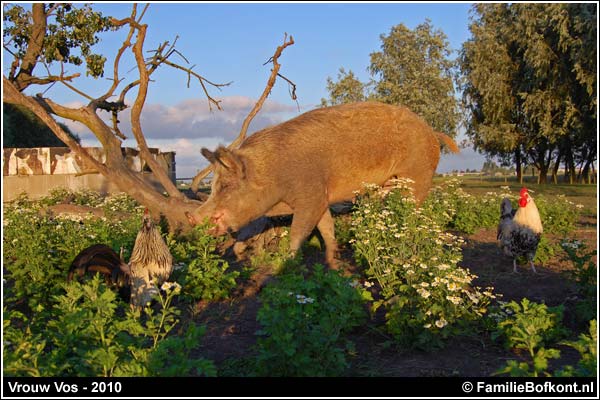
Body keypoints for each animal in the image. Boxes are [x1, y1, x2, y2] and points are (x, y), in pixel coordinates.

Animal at [188, 101, 460, 268]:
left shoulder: (311, 196)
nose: (192, 217)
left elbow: (299, 232)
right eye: (213, 186)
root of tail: (432, 132)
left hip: (419, 177)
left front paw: (288, 262)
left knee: (414, 212)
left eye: (226, 186)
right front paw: (332, 263)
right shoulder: (321, 199)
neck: (274, 176)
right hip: (385, 188)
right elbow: (327, 229)